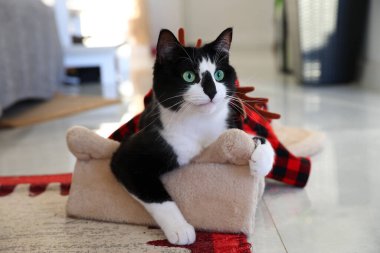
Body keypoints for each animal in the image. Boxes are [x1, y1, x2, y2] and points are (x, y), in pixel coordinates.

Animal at [111, 27, 274, 245]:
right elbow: (155, 194)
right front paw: (180, 229)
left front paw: (261, 162)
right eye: (188, 76)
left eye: (219, 74)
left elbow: (260, 138)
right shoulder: (128, 157)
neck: (200, 124)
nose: (212, 91)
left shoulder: (227, 126)